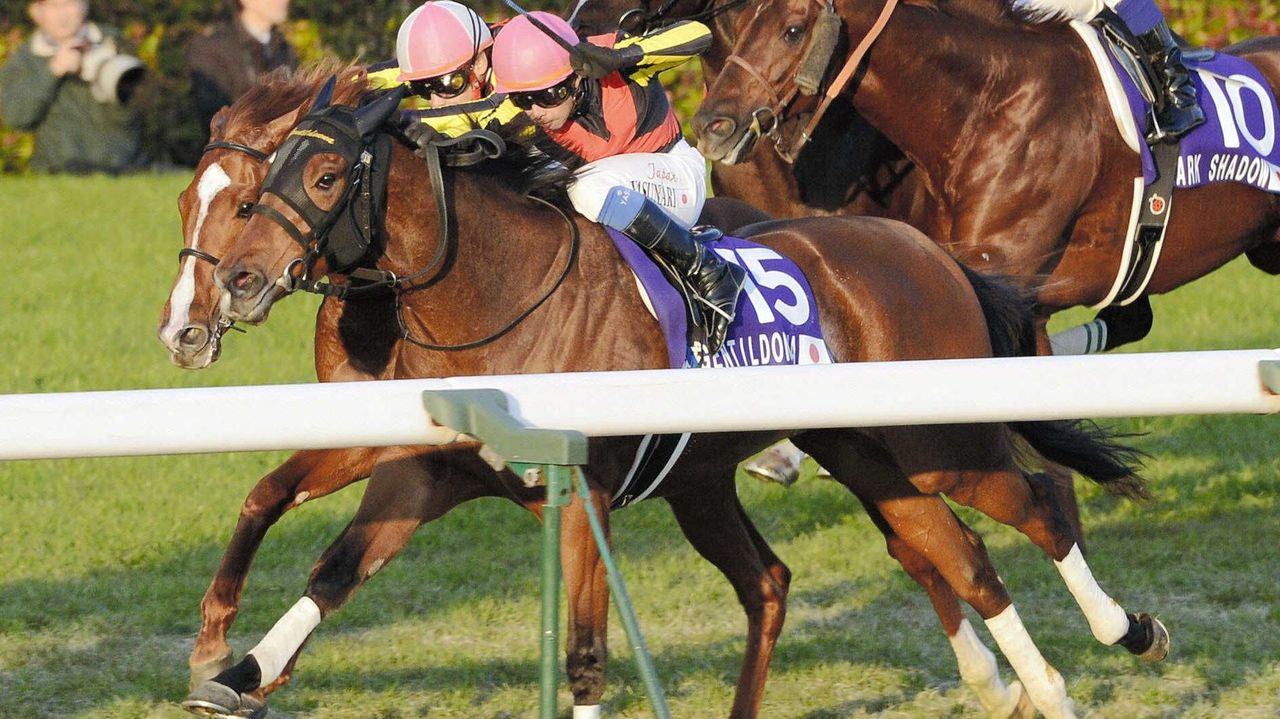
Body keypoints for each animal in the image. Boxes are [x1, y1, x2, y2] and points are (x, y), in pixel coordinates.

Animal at [186, 72, 1163, 719]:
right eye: (262, 176)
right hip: (852, 460)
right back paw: (1035, 684)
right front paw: (235, 668)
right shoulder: (428, 468)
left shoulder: (582, 491)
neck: (499, 297)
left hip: (939, 445)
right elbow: (328, 562)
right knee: (934, 556)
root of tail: (931, 250)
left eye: (321, 177)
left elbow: (585, 653)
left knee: (1036, 504)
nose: (235, 284)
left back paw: (1121, 635)